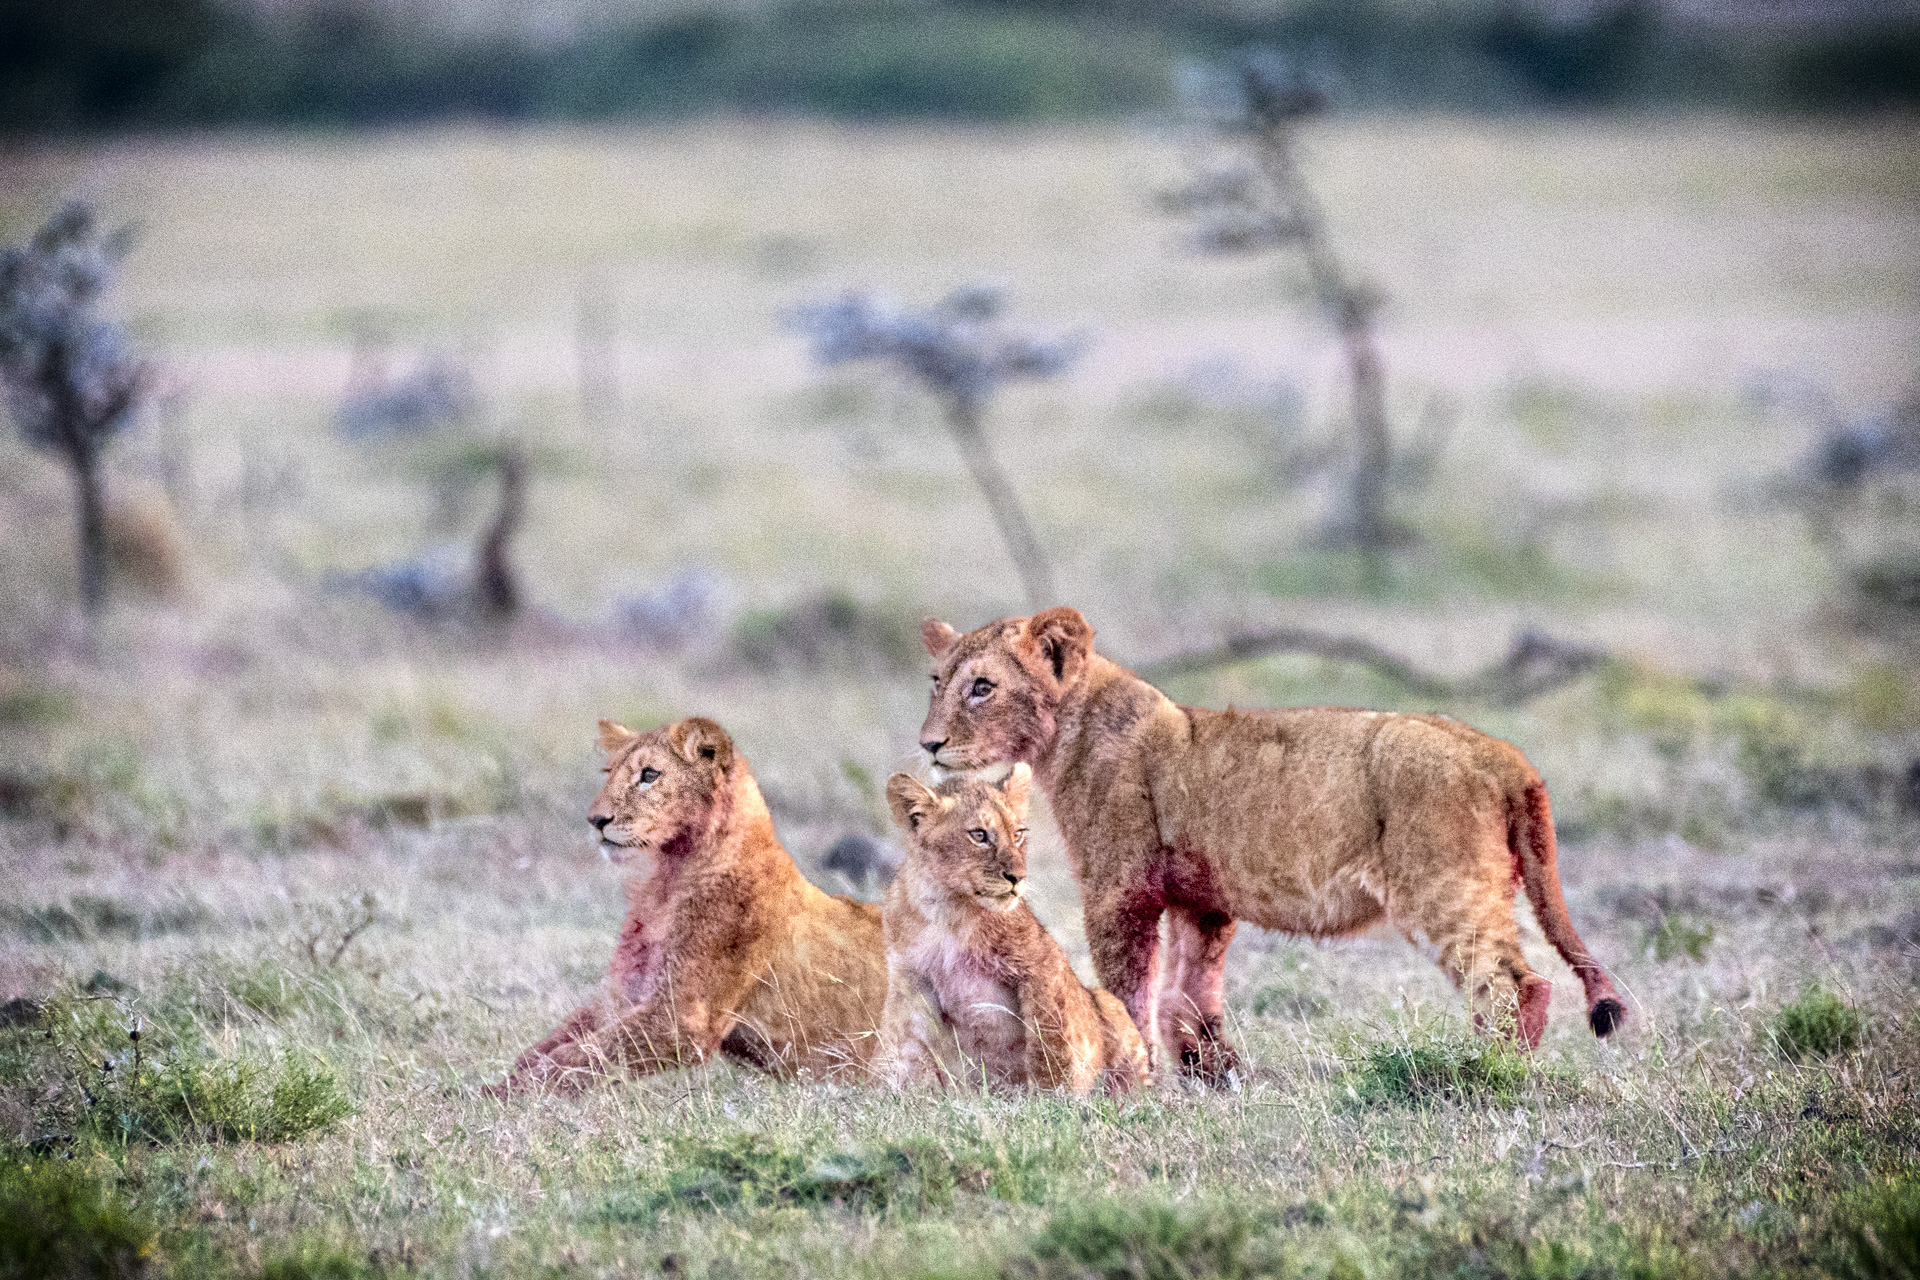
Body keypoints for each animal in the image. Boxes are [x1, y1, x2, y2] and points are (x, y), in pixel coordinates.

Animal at [487, 716, 888, 1094]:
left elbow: (577, 1056)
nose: (595, 820)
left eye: (649, 775)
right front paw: (488, 1090)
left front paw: (516, 1099)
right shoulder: (621, 996)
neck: (666, 879)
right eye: (608, 772)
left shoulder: (683, 1019)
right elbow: (543, 1050)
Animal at [876, 764, 1149, 1096]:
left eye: (1018, 834)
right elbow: (904, 1046)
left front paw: (1052, 1097)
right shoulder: (911, 980)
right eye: (979, 835)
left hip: (1108, 1004)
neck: (948, 910)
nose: (1017, 877)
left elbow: (1048, 1040)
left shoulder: (1042, 964)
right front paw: (894, 1093)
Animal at [916, 607, 1626, 1085]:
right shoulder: (1201, 900)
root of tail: (1502, 754)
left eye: (982, 687)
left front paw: (1135, 1079)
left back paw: (1490, 1071)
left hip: (1442, 890)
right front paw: (1213, 1077)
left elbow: (1129, 993)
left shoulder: (1120, 892)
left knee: (1517, 984)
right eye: (936, 681)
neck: (1072, 728)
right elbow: (1189, 996)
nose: (929, 744)